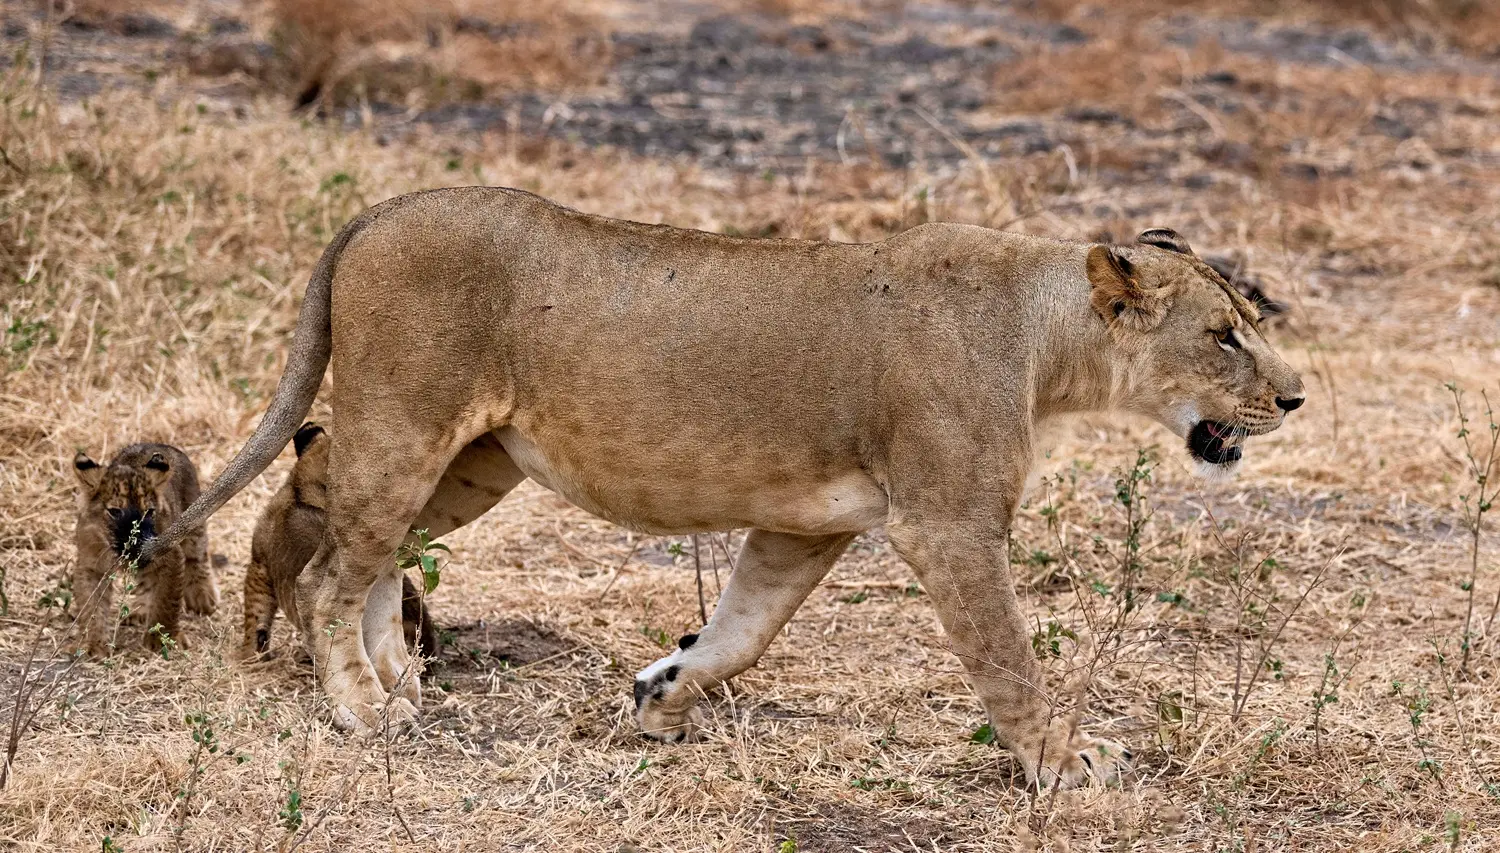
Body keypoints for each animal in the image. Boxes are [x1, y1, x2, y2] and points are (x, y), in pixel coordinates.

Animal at [72, 443, 219, 656]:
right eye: (115, 511)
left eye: (148, 512)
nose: (138, 542)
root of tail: (156, 443)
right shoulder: (90, 565)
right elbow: (91, 607)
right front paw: (94, 644)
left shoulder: (171, 554)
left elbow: (166, 601)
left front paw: (161, 640)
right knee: (147, 581)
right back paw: (141, 611)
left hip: (193, 518)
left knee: (198, 555)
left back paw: (202, 597)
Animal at [242, 422, 438, 660]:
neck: (300, 493)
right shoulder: (259, 564)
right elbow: (255, 619)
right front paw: (248, 656)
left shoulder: (259, 564)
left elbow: (256, 617)